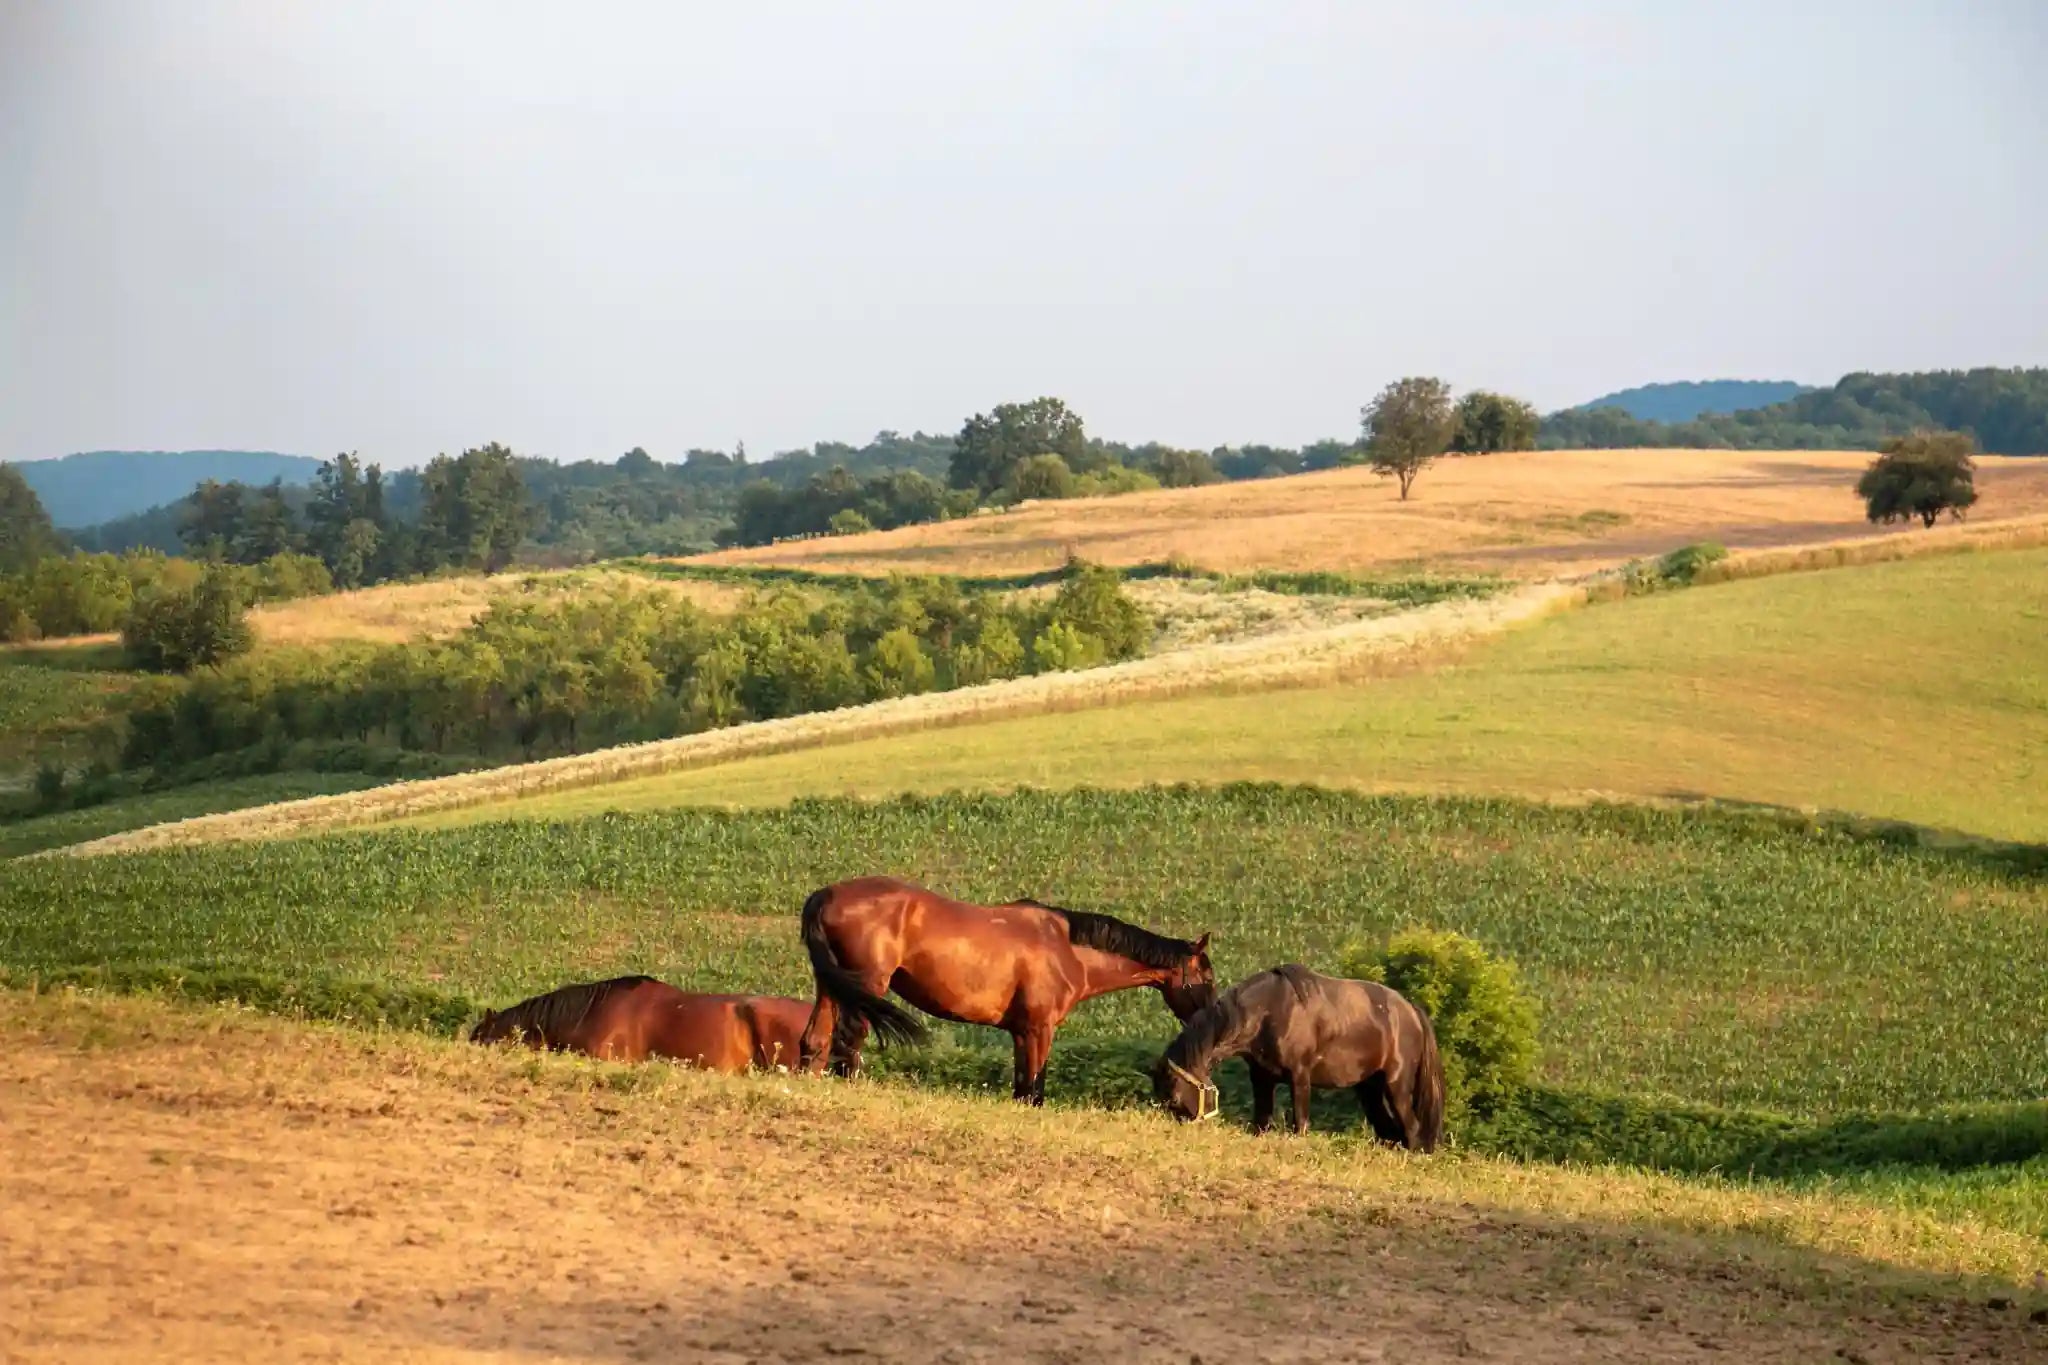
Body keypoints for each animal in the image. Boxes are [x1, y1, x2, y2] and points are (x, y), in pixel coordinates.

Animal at [794, 875, 1212, 1113]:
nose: (1210, 1019)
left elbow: (1022, 1087)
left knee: (815, 1042)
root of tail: (826, 895)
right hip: (865, 988)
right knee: (848, 1043)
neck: (1065, 947)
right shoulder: (1040, 1031)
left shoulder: (1020, 1034)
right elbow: (1034, 1090)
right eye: (1206, 976)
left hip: (831, 988)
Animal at [1155, 961, 1441, 1154]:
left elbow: (1300, 1123)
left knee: (1411, 1129)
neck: (1270, 1011)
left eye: (1174, 1097)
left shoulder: (1300, 1077)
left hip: (1396, 1088)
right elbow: (1262, 1121)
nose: (1185, 1130)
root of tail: (1411, 1010)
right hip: (1370, 1090)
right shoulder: (1261, 1078)